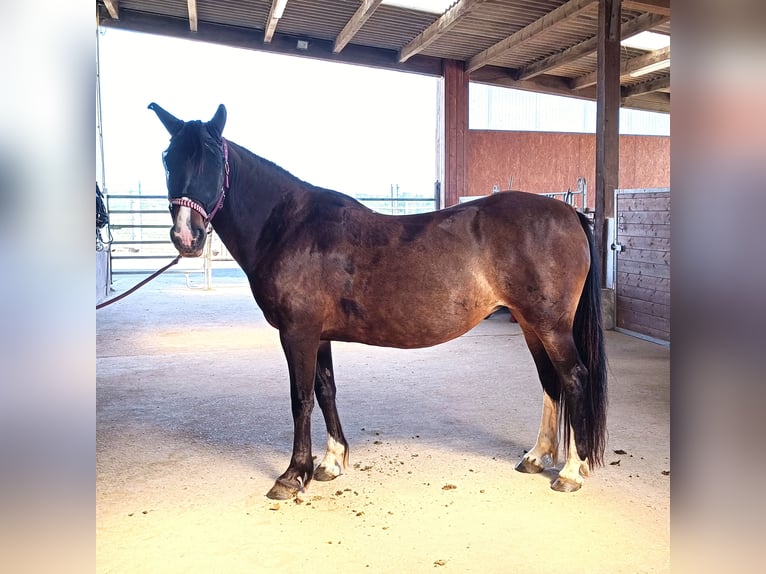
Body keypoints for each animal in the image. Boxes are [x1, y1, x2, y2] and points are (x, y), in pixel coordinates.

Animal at [148, 103, 608, 500]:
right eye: (169, 159)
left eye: (212, 159)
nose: (186, 236)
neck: (290, 227)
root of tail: (568, 213)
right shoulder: (318, 335)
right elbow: (326, 390)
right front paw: (331, 463)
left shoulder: (297, 333)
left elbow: (301, 399)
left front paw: (292, 475)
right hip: (530, 324)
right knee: (551, 382)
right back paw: (537, 457)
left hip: (550, 325)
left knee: (574, 378)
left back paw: (571, 471)